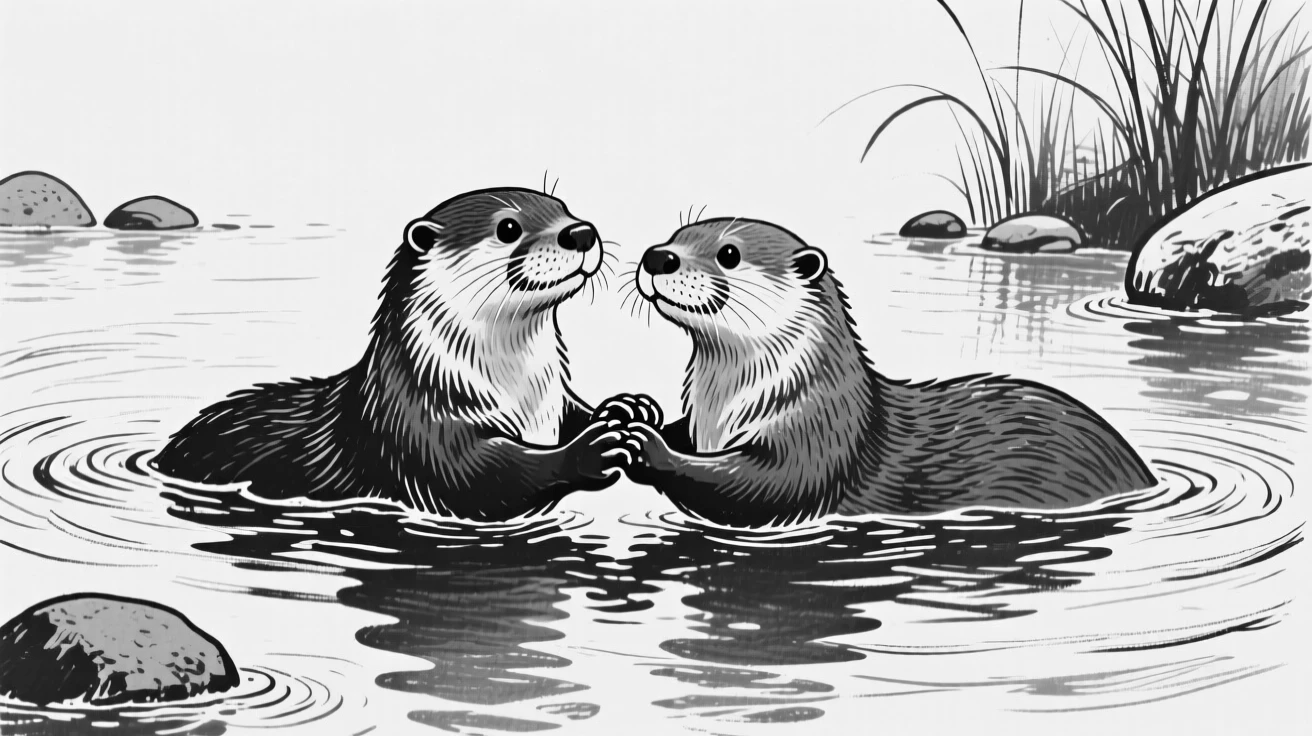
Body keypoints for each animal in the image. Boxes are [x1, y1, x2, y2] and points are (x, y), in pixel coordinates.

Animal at [151, 187, 649, 521]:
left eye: (565, 208)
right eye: (509, 228)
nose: (580, 232)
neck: (520, 395)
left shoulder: (554, 402)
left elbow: (576, 410)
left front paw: (628, 407)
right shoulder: (418, 427)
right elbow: (485, 479)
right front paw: (591, 451)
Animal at [620, 218, 1157, 527]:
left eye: (728, 253)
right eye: (675, 237)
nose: (658, 256)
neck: (727, 406)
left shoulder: (819, 437)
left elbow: (753, 488)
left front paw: (647, 447)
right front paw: (632, 411)